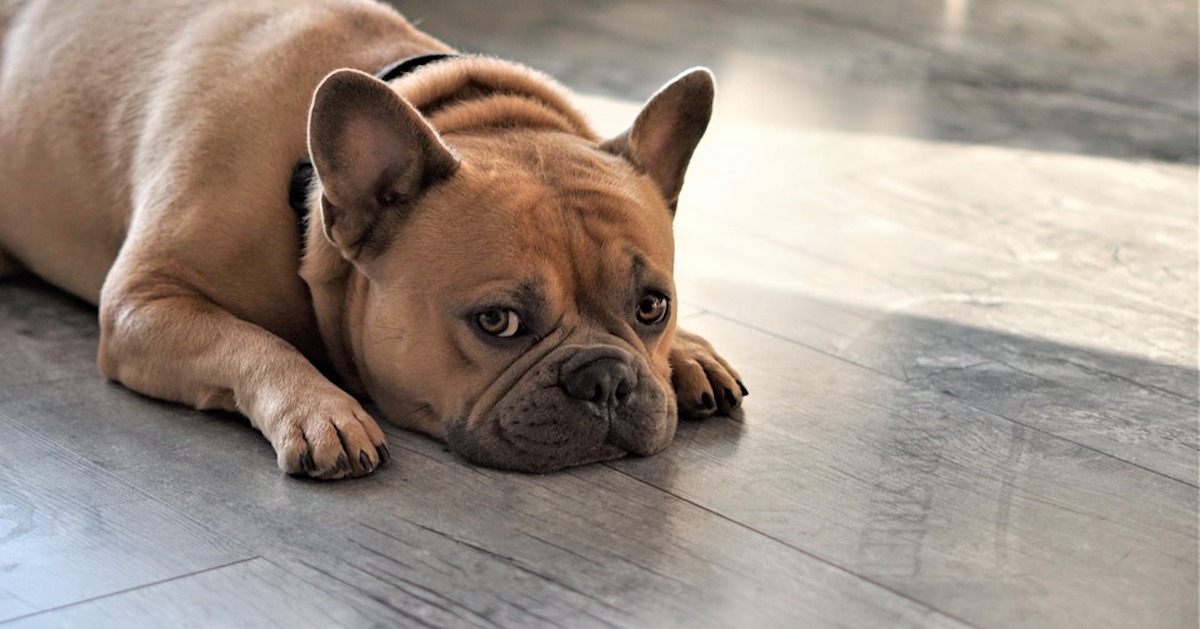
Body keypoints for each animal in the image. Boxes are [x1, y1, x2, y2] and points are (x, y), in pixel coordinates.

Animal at [0, 0, 744, 477]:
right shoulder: (143, 302)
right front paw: (321, 410)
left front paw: (691, 351)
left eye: (653, 307)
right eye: (497, 322)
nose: (607, 379)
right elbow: (248, 339)